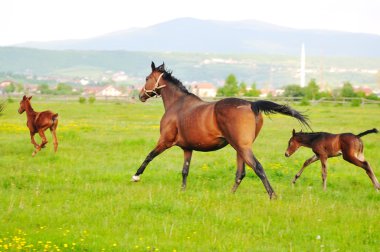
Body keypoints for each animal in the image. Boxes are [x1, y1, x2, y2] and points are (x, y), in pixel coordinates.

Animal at [132, 61, 310, 199]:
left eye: (147, 78)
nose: (140, 96)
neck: (177, 104)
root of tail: (251, 104)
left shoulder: (165, 141)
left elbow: (149, 156)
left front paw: (135, 176)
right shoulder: (187, 148)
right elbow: (185, 170)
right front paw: (182, 191)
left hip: (242, 147)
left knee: (257, 167)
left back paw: (272, 196)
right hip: (239, 148)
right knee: (241, 173)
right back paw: (230, 194)